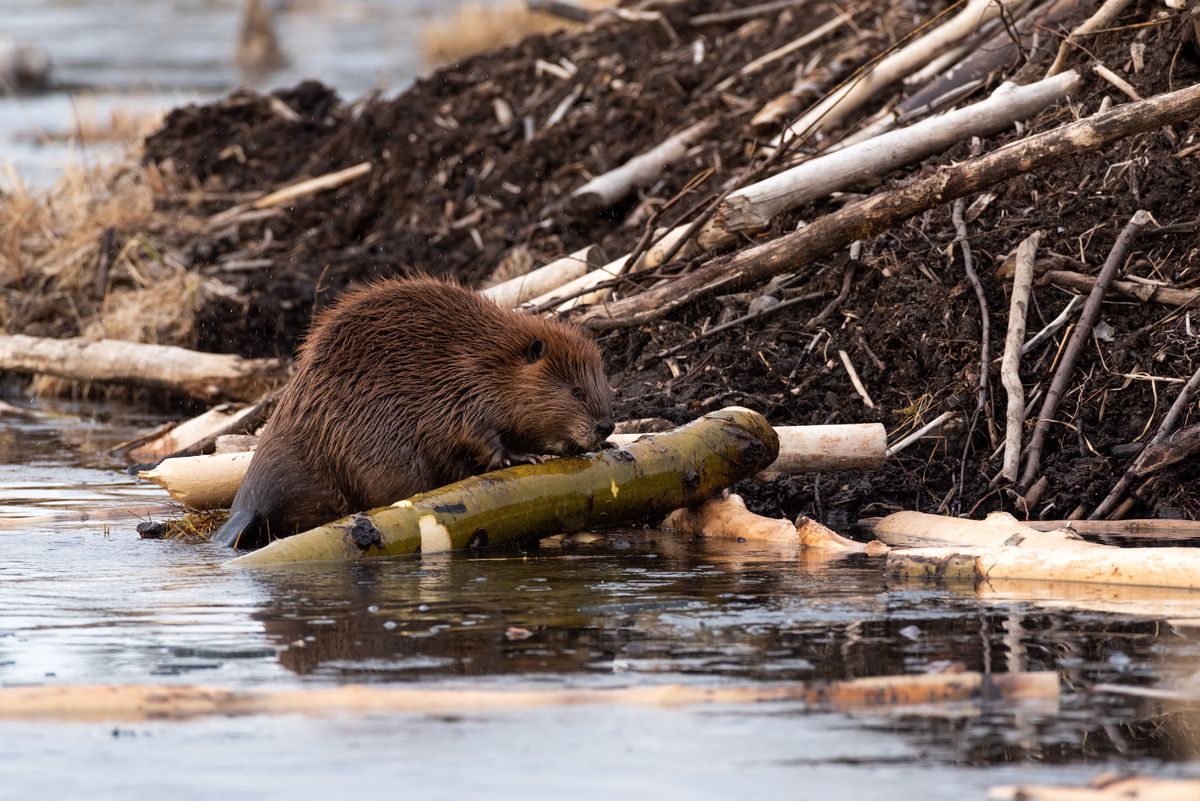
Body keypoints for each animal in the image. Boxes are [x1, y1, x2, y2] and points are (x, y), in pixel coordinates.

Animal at [210, 276, 614, 551]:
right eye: (576, 391)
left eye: (603, 384)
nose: (606, 427)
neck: (489, 359)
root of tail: (248, 504)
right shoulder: (462, 390)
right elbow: (479, 436)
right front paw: (524, 456)